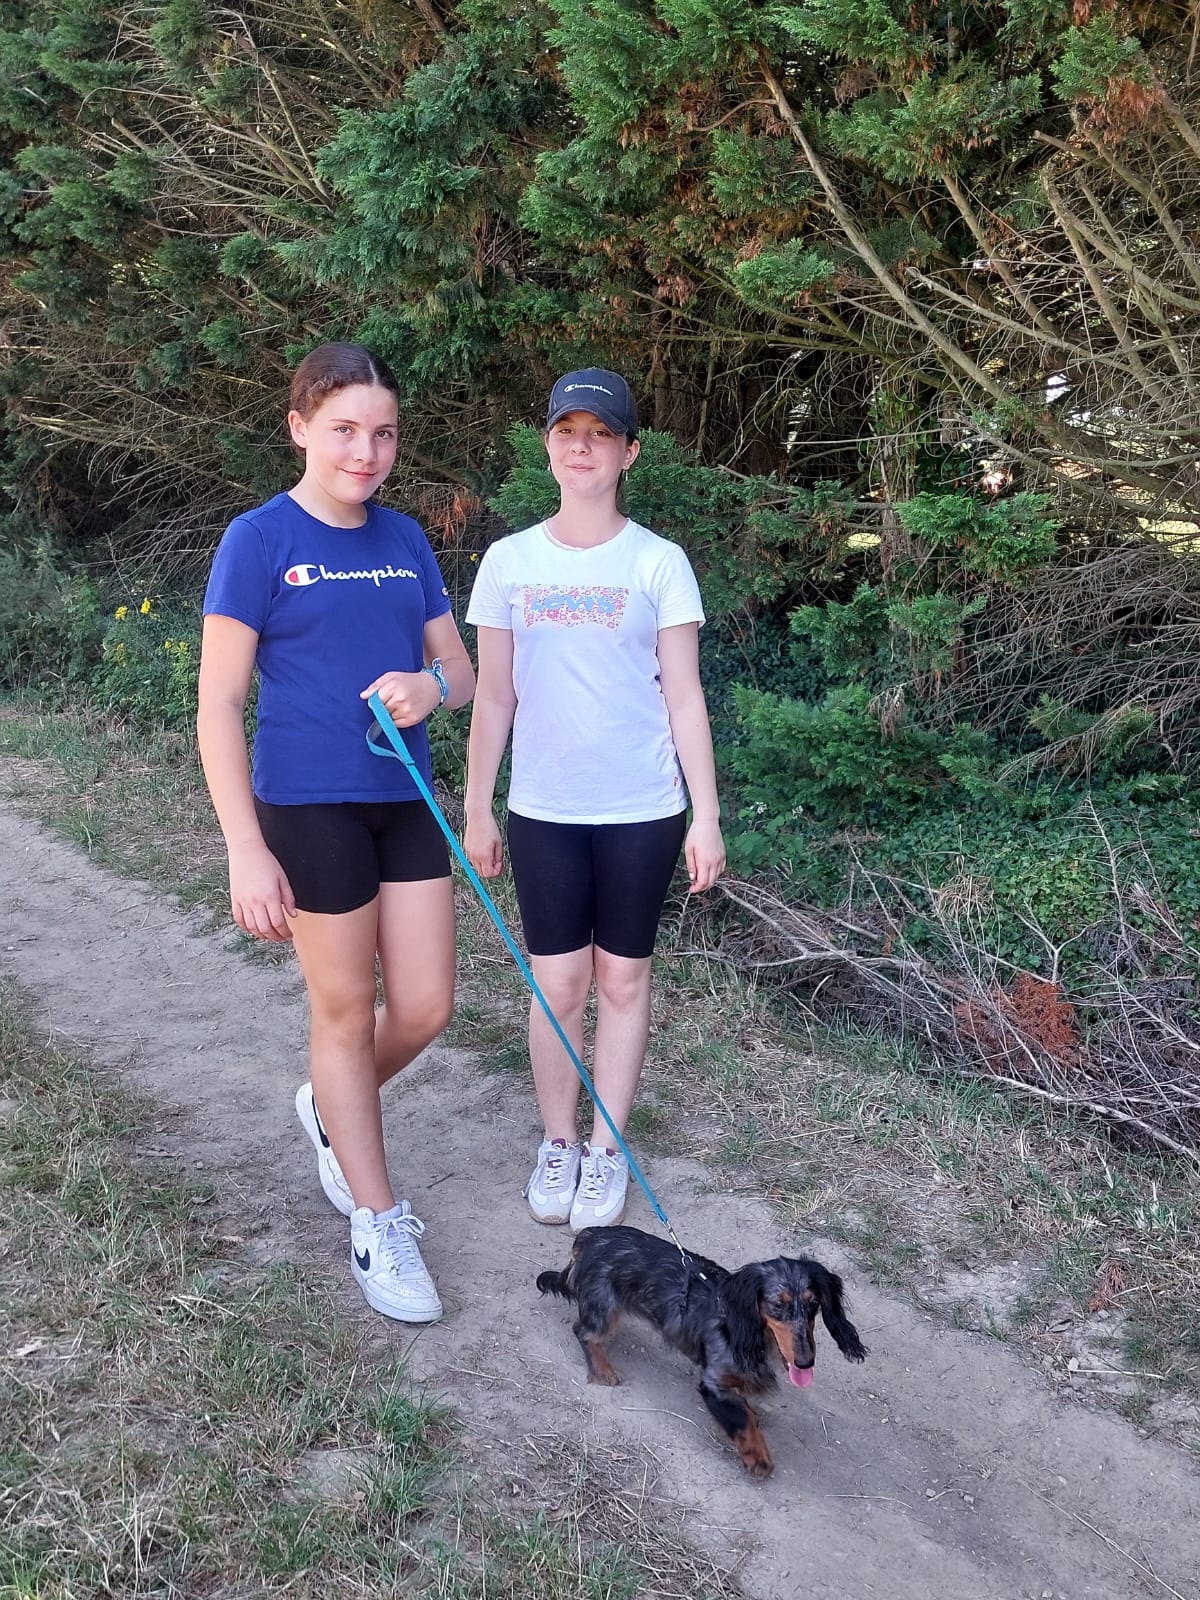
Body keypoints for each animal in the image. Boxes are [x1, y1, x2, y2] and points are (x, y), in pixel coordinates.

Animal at [536, 1224, 867, 1478]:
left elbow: (744, 1407)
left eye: (814, 1304)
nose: (805, 1361)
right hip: (604, 1309)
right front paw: (757, 1457)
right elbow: (741, 1421)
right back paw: (602, 1369)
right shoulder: (713, 1382)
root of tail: (590, 1236)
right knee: (583, 1332)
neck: (745, 1331)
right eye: (777, 1305)